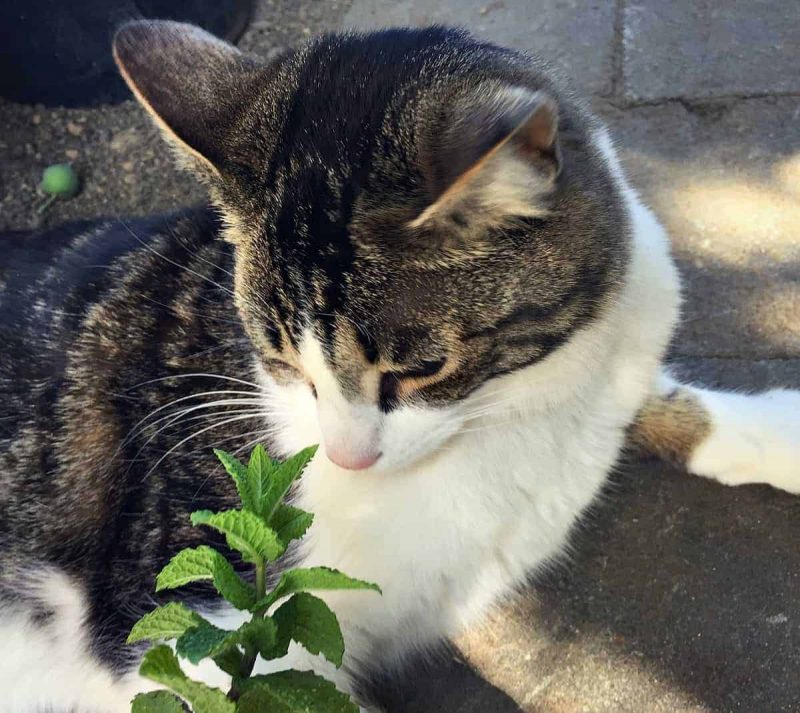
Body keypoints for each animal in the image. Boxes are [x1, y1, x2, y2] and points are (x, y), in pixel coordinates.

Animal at [1, 19, 800, 708]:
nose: (348, 456)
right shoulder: (198, 620)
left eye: (420, 368)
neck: (506, 411)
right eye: (280, 359)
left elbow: (655, 398)